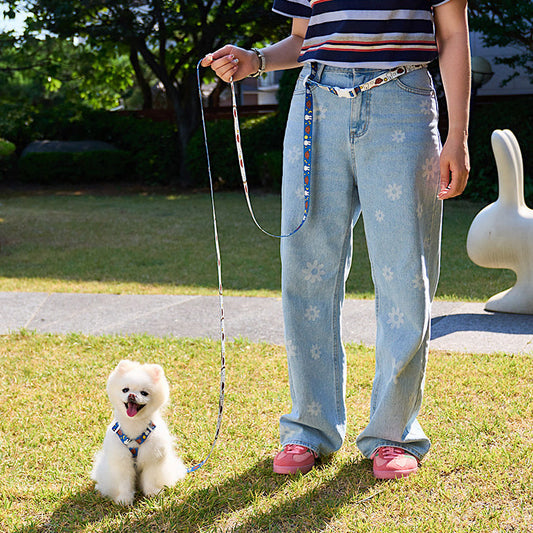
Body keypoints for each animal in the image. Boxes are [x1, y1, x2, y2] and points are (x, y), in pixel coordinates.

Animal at [90, 358, 185, 502]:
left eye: (144, 393)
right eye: (125, 389)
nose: (132, 395)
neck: (134, 426)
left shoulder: (152, 458)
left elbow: (151, 479)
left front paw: (152, 493)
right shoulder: (121, 462)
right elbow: (124, 483)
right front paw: (124, 499)